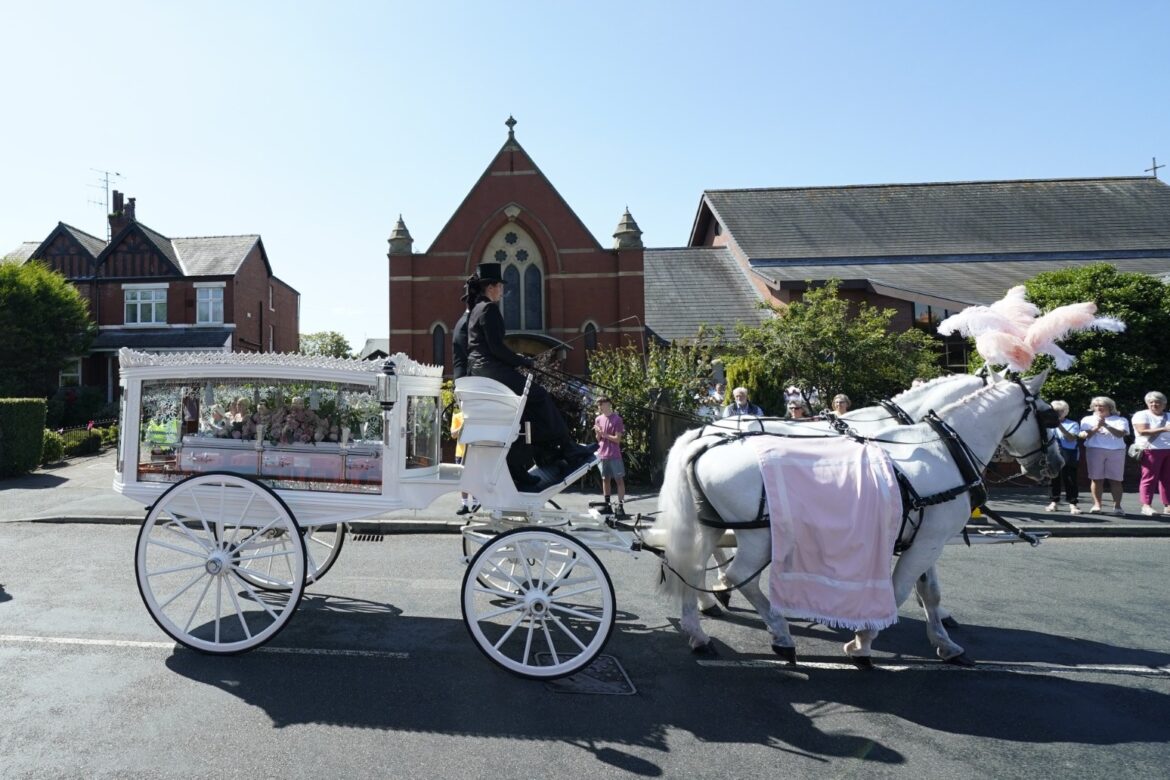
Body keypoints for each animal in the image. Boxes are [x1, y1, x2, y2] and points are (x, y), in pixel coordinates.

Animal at [659, 371, 1062, 664]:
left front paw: (944, 641)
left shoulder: (924, 535)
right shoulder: (926, 539)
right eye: (1049, 415)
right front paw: (863, 639)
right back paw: (777, 631)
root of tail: (704, 436)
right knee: (737, 574)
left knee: (691, 565)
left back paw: (701, 628)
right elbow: (899, 589)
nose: (1055, 464)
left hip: (709, 524)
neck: (939, 449)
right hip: (760, 535)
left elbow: (928, 591)